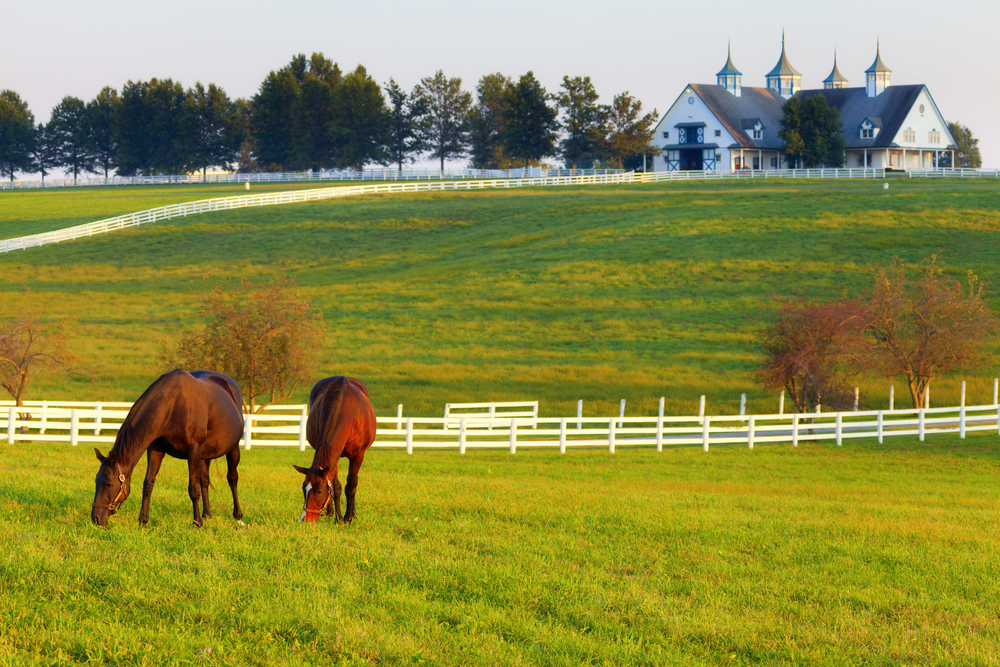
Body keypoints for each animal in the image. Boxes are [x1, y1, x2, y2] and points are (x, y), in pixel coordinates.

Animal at [92, 368, 246, 528]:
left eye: (109, 484)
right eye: (96, 481)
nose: (95, 518)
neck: (173, 406)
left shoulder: (193, 450)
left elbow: (193, 488)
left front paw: (197, 523)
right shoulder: (155, 449)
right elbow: (148, 484)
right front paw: (143, 521)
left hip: (233, 449)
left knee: (232, 478)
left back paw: (238, 516)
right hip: (205, 454)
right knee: (205, 480)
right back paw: (207, 514)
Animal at [296, 378, 378, 524]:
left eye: (319, 491)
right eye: (303, 488)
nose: (305, 519)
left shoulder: (358, 455)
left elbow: (351, 486)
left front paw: (348, 518)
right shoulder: (334, 457)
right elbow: (336, 487)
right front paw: (338, 518)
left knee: (353, 481)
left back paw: (353, 512)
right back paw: (330, 512)